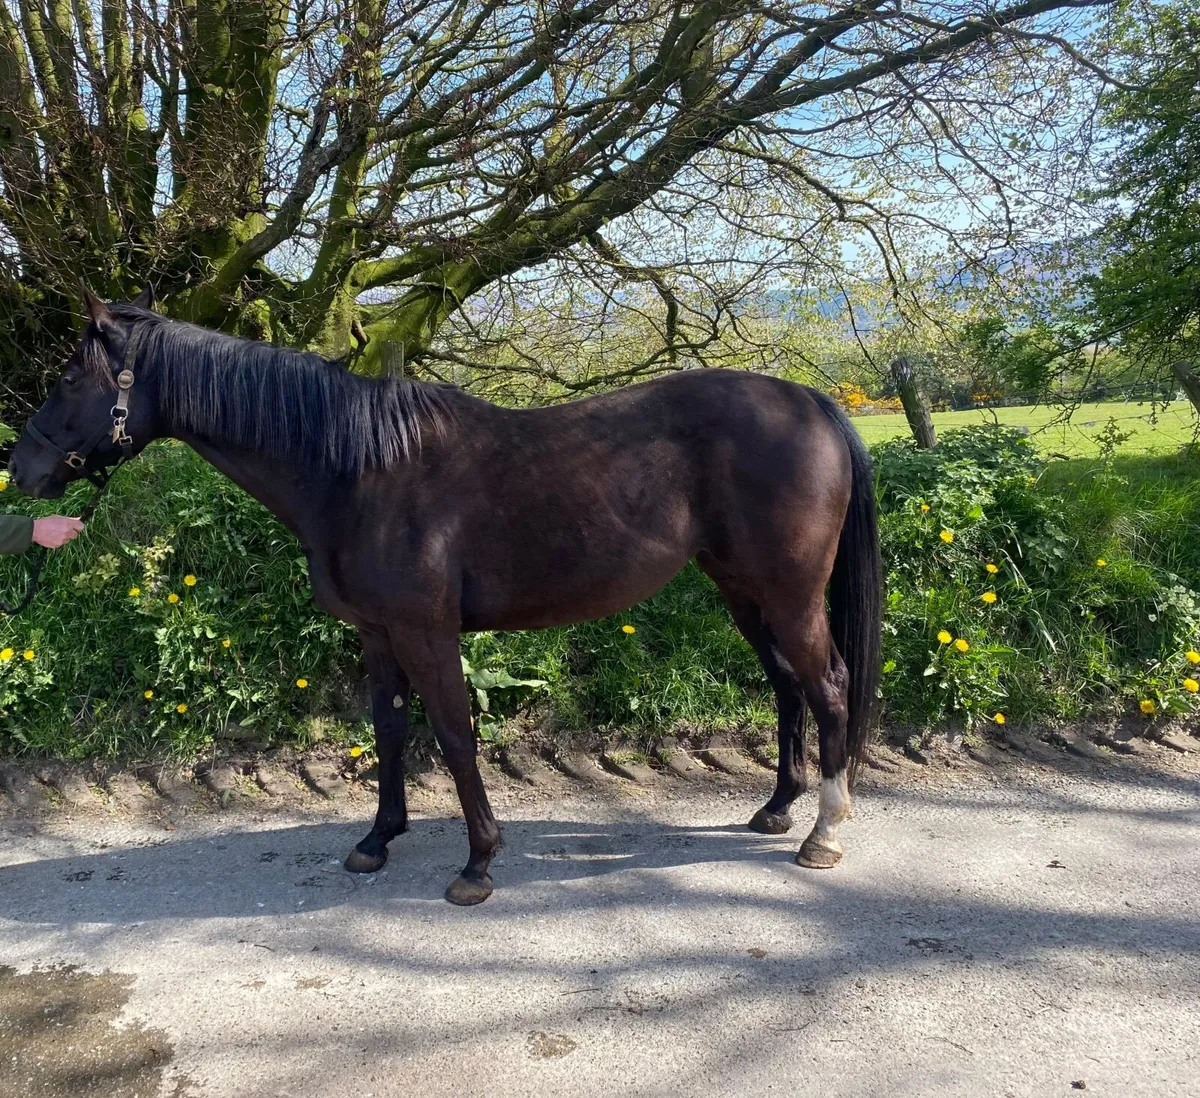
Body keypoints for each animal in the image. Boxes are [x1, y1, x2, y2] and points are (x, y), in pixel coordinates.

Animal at [8, 288, 881, 906]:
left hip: (788, 595)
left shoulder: (427, 631)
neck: (356, 469)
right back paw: (777, 809)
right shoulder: (376, 632)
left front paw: (478, 864)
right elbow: (390, 733)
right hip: (742, 591)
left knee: (830, 686)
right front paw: (376, 841)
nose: (22, 469)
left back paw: (823, 834)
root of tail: (812, 402)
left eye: (69, 378)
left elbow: (456, 738)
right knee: (787, 687)